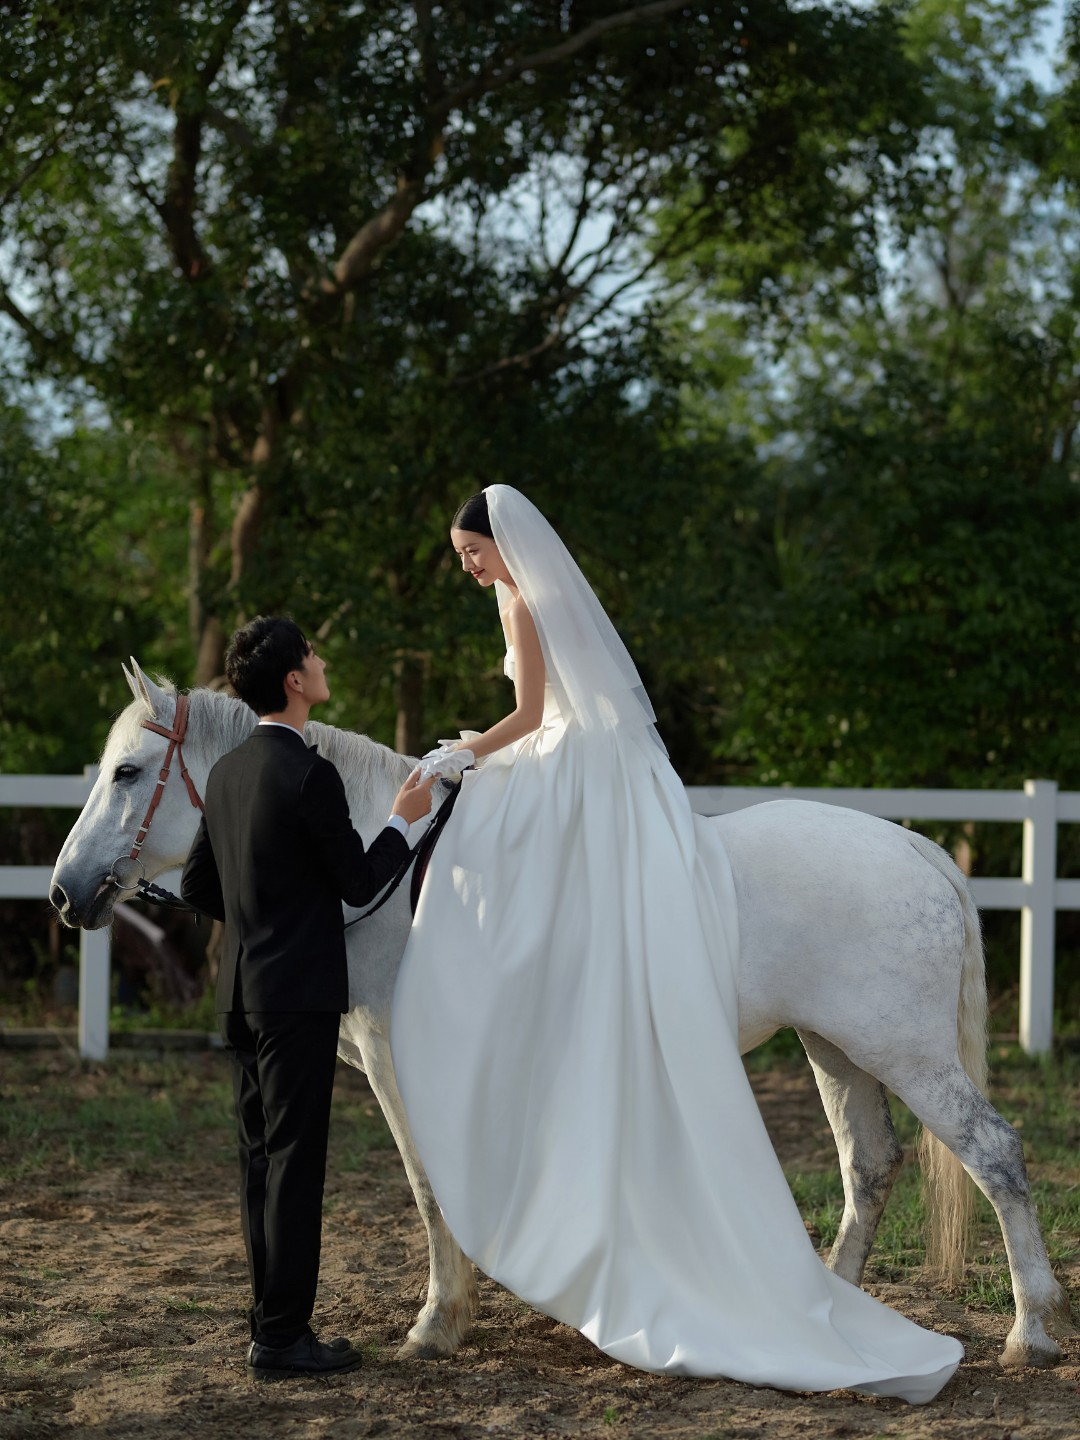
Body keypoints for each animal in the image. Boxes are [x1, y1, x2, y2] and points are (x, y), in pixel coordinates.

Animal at [52, 662, 1077, 1370]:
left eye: (128, 771)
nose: (66, 893)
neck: (387, 865)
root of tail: (917, 850)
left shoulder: (393, 1056)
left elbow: (429, 1187)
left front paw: (437, 1324)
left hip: (905, 1052)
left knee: (994, 1154)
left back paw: (1030, 1331)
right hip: (836, 1047)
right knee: (870, 1166)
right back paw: (832, 1321)